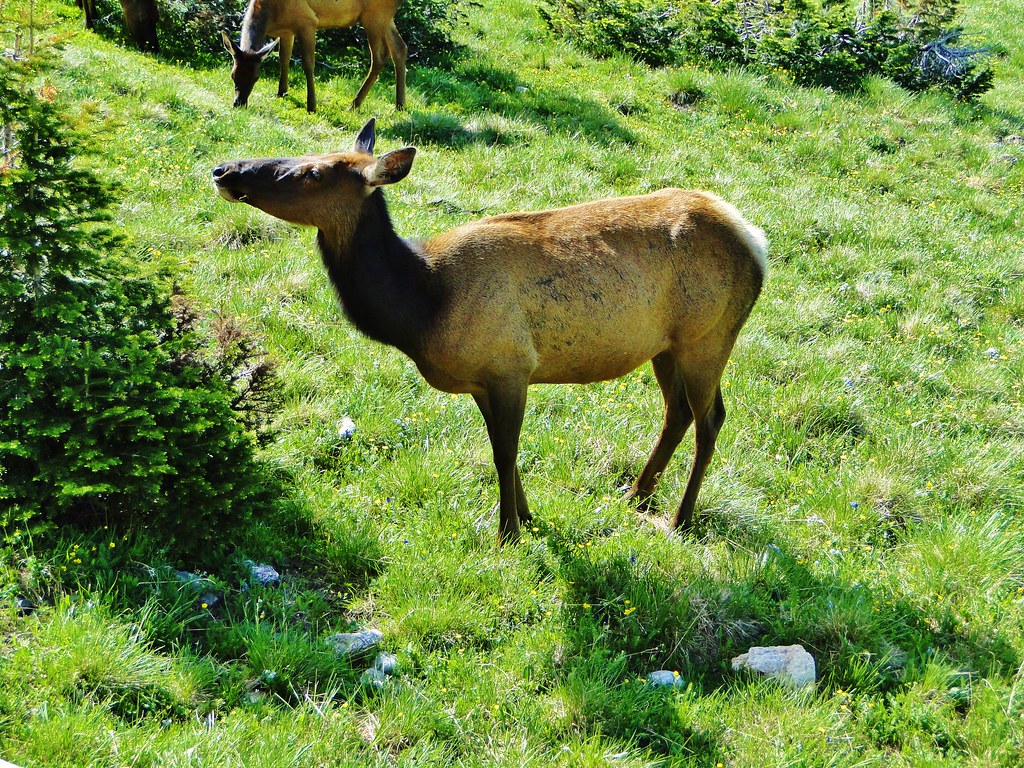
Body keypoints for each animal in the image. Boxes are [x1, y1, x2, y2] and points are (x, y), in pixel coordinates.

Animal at [212, 119, 767, 544]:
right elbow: (502, 449)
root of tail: (755, 240)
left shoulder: (510, 364)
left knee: (710, 418)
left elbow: (504, 452)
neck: (423, 309)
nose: (224, 169)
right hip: (666, 345)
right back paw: (634, 494)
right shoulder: (483, 378)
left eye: (313, 172)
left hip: (709, 335)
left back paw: (680, 518)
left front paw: (507, 533)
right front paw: (525, 515)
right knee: (677, 413)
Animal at [221, 0, 406, 113]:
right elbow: (284, 58)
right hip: (384, 17)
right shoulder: (286, 31)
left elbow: (308, 64)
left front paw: (311, 105)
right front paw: (281, 93)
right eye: (232, 75)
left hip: (374, 15)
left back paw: (353, 105)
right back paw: (400, 105)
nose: (238, 103)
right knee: (400, 48)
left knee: (380, 56)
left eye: (256, 77)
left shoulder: (307, 21)